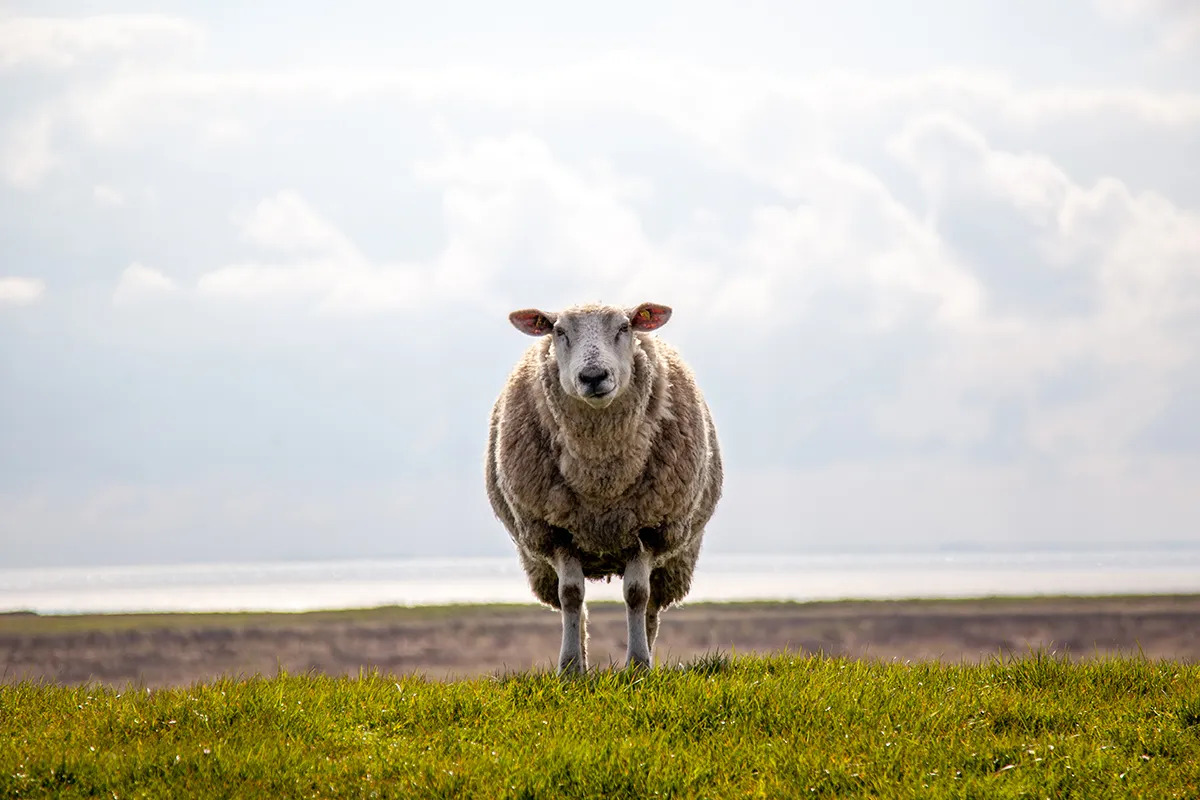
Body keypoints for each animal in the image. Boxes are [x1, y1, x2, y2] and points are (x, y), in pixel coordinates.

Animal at [485, 301, 723, 674]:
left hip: (675, 557)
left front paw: (638, 664)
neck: (601, 476)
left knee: (651, 605)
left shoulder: (646, 528)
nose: (593, 376)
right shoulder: (557, 530)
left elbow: (637, 595)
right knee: (577, 608)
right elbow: (571, 595)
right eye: (558, 331)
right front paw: (570, 668)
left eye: (625, 327)